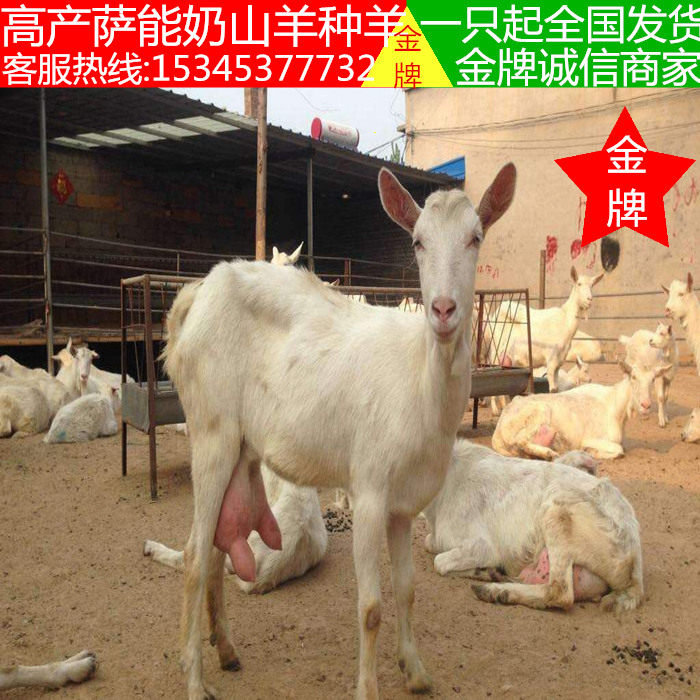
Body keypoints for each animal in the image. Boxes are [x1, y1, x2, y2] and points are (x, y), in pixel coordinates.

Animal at [162, 163, 516, 700]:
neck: (419, 381)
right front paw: (368, 688)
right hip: (210, 430)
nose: (442, 310)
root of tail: (196, 295)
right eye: (417, 242)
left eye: (476, 237)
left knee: (219, 548)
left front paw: (416, 672)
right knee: (194, 555)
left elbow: (408, 590)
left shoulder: (403, 505)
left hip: (239, 444)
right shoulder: (369, 488)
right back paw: (196, 681)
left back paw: (226, 651)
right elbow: (370, 608)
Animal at [423, 440, 643, 613]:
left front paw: (485, 571)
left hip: (556, 512)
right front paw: (486, 571)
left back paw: (495, 591)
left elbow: (439, 562)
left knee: (560, 593)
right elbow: (430, 543)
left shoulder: (482, 546)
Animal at [492, 360, 672, 460]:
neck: (614, 406)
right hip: (538, 411)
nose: (646, 405)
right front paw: (591, 451)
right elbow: (619, 450)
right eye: (633, 377)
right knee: (521, 441)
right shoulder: (591, 438)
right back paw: (549, 453)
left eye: (653, 379)